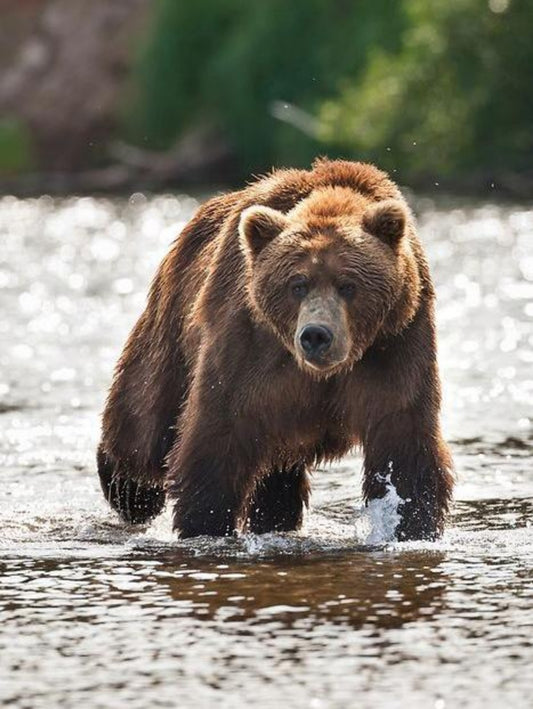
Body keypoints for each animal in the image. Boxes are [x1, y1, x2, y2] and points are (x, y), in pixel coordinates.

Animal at [97, 158, 454, 541]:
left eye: (348, 285)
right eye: (297, 284)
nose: (316, 335)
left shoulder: (396, 344)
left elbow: (403, 442)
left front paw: (410, 524)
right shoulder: (247, 344)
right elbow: (218, 434)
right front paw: (205, 522)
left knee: (277, 475)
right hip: (173, 326)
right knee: (145, 420)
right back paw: (128, 490)